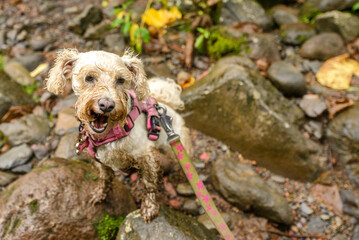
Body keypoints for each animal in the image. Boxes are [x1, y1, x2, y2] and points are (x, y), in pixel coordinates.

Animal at [48, 48, 194, 221]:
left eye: (120, 80)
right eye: (89, 77)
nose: (106, 105)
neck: (112, 133)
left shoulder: (146, 156)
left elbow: (149, 184)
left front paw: (149, 208)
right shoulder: (101, 162)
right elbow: (105, 178)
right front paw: (100, 194)